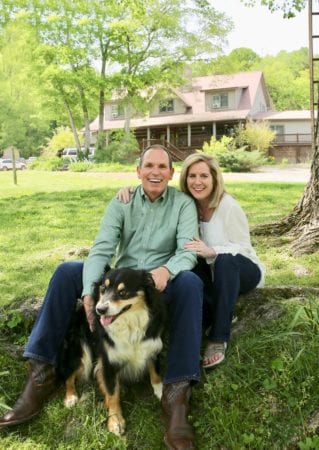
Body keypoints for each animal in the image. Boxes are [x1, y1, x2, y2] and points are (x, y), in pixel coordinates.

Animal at [57, 268, 166, 436]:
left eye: (123, 292)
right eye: (103, 288)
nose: (99, 310)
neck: (130, 323)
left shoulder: (152, 346)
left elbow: (155, 372)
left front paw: (161, 391)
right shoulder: (108, 361)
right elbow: (113, 394)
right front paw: (115, 421)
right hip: (82, 351)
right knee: (68, 375)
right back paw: (71, 397)